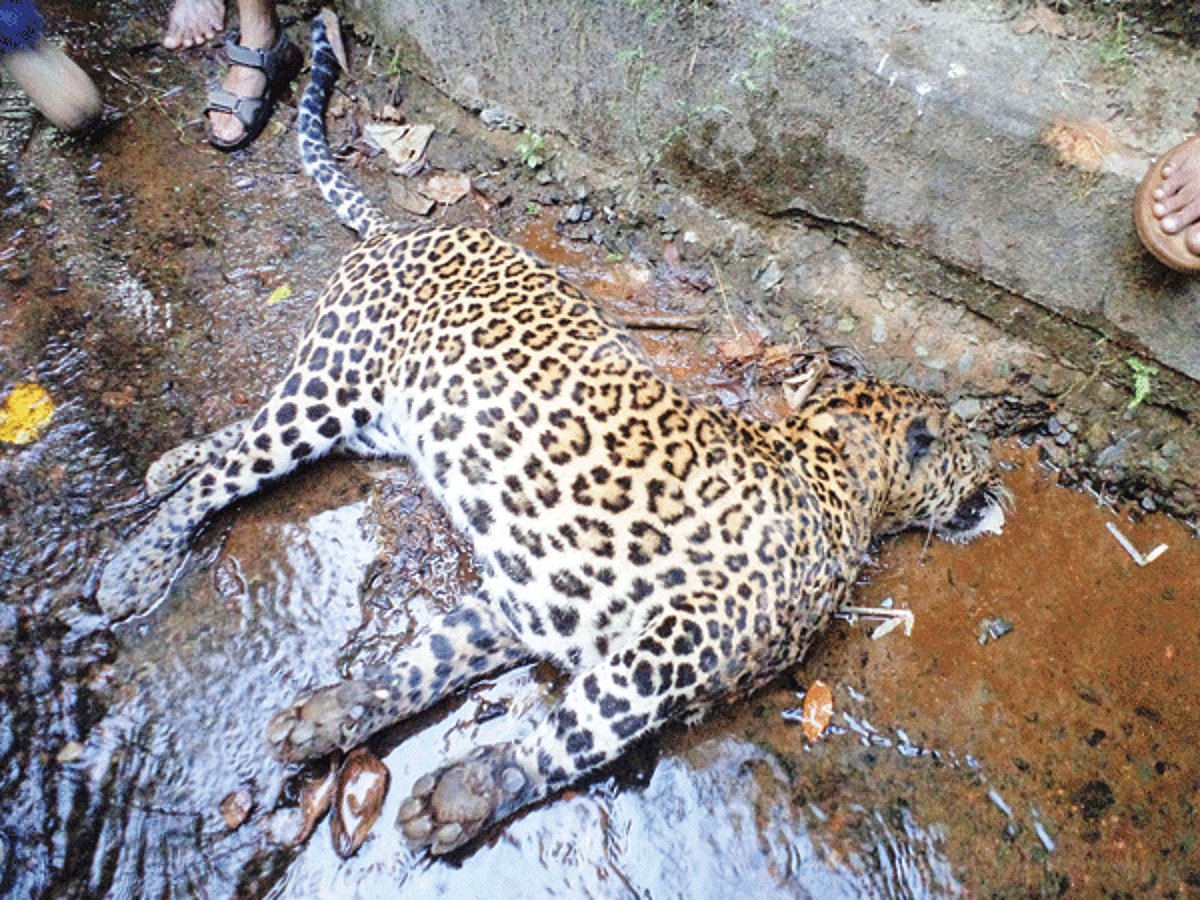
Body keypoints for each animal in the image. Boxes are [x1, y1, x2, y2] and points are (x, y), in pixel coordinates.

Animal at [96, 17, 1008, 856]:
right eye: (967, 446)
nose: (998, 473)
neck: (834, 468)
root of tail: (407, 228)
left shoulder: (527, 603)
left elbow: (424, 661)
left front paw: (332, 716)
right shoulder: (678, 642)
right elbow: (579, 730)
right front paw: (465, 794)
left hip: (363, 422)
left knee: (239, 436)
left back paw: (167, 465)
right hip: (331, 384)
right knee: (227, 475)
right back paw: (131, 568)